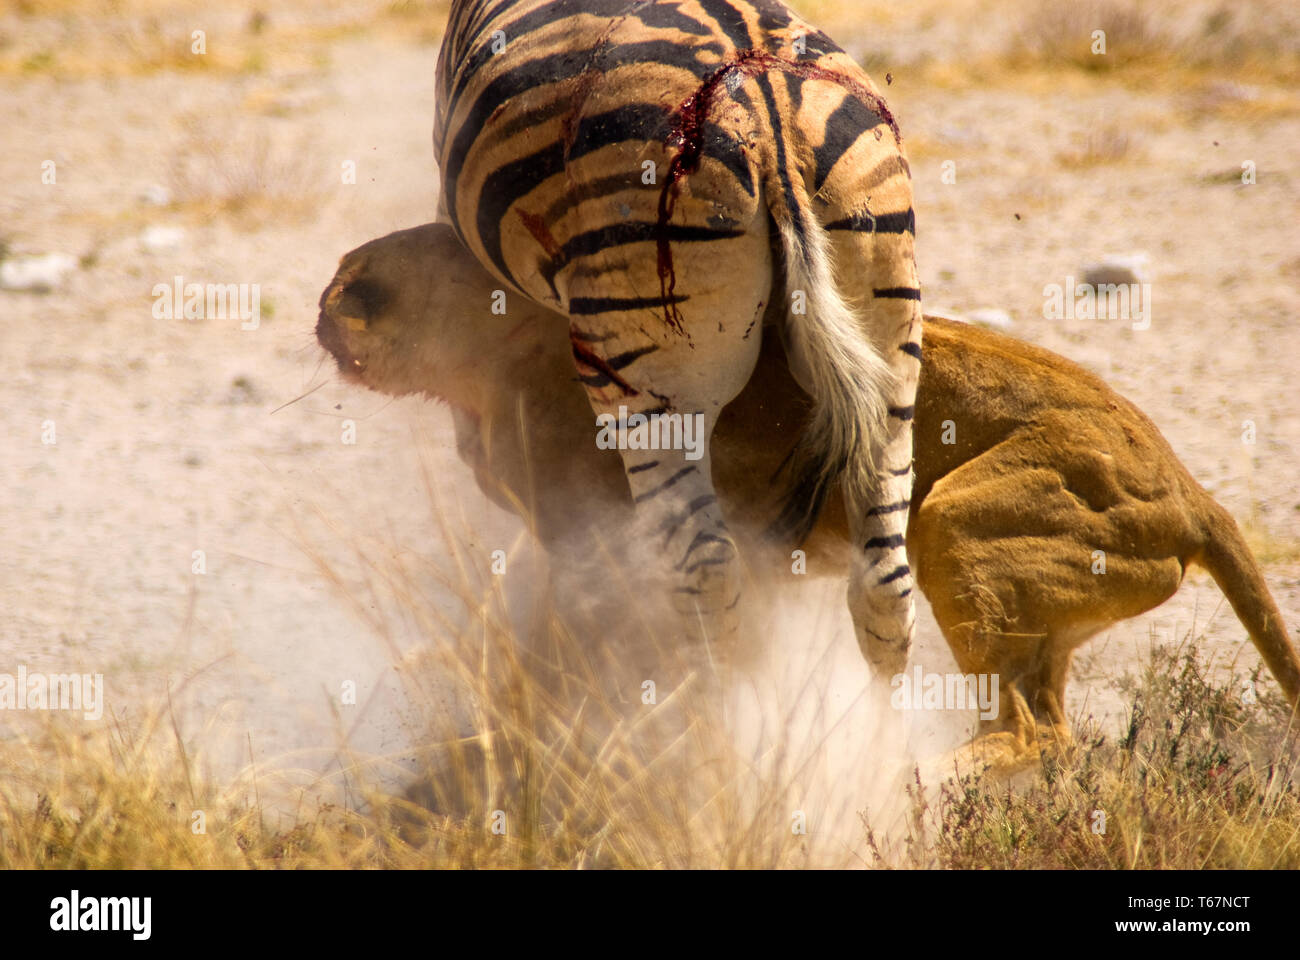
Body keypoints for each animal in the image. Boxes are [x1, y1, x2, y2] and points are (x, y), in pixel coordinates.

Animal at [431, 1, 920, 671]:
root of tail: (769, 113)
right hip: (888, 343)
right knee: (884, 579)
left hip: (656, 386)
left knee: (705, 569)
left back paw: (711, 700)